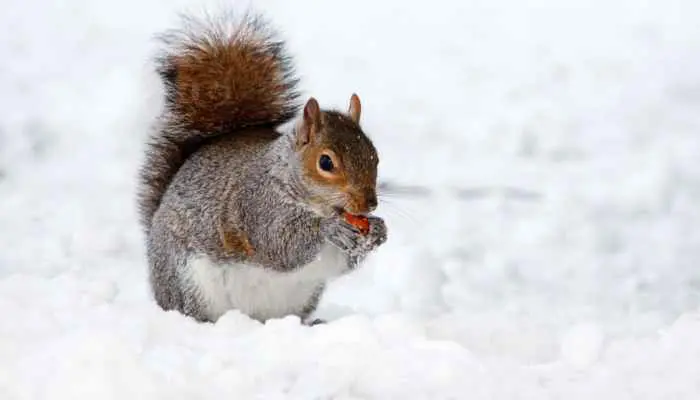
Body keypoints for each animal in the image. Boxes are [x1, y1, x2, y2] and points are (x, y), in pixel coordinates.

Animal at [137, 11, 387, 325]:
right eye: (326, 162)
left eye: (375, 156)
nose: (369, 204)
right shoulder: (255, 205)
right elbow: (279, 245)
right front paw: (329, 228)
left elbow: (342, 262)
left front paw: (378, 230)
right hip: (189, 283)